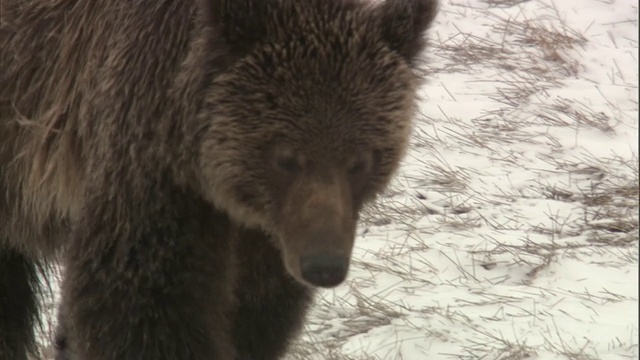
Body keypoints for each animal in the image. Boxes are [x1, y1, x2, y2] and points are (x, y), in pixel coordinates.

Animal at [0, 0, 436, 358]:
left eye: (359, 160)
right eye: (285, 158)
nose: (323, 266)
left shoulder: (268, 233)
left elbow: (255, 312)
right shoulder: (150, 168)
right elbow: (142, 305)